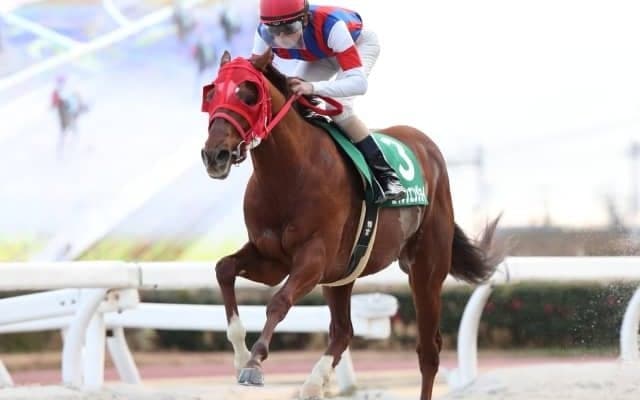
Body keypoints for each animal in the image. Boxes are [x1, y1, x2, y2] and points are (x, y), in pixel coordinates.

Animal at [200, 49, 503, 400]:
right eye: (211, 93)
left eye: (248, 94)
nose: (214, 155)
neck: (289, 174)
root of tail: (426, 145)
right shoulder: (271, 258)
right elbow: (224, 269)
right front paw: (239, 356)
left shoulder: (314, 258)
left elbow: (278, 301)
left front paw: (254, 362)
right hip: (342, 274)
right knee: (343, 331)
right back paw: (313, 384)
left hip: (426, 269)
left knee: (428, 351)